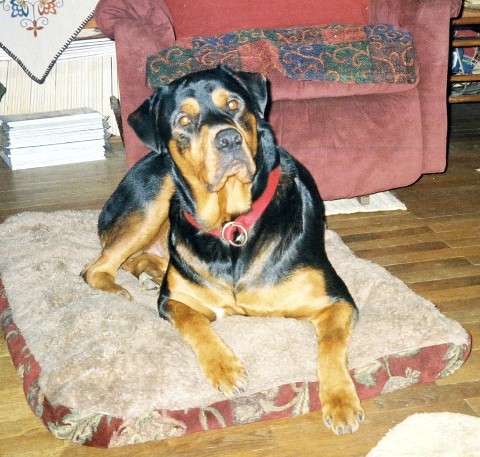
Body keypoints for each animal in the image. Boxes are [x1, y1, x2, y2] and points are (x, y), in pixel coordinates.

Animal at [81, 65, 364, 434]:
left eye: (233, 104)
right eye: (184, 120)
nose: (228, 139)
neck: (232, 224)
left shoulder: (335, 301)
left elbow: (330, 345)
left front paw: (341, 401)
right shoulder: (175, 300)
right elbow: (194, 323)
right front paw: (226, 370)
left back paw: (150, 272)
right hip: (153, 198)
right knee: (96, 267)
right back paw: (123, 288)